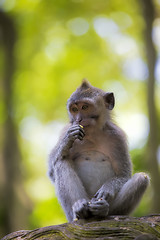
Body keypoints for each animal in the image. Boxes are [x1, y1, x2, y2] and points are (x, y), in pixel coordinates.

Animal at [47, 80, 150, 221]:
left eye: (85, 107)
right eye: (74, 109)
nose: (78, 119)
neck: (92, 135)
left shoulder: (117, 137)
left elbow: (123, 174)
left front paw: (107, 189)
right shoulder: (65, 129)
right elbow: (52, 171)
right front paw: (68, 139)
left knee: (142, 178)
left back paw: (103, 209)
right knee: (61, 161)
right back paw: (79, 208)